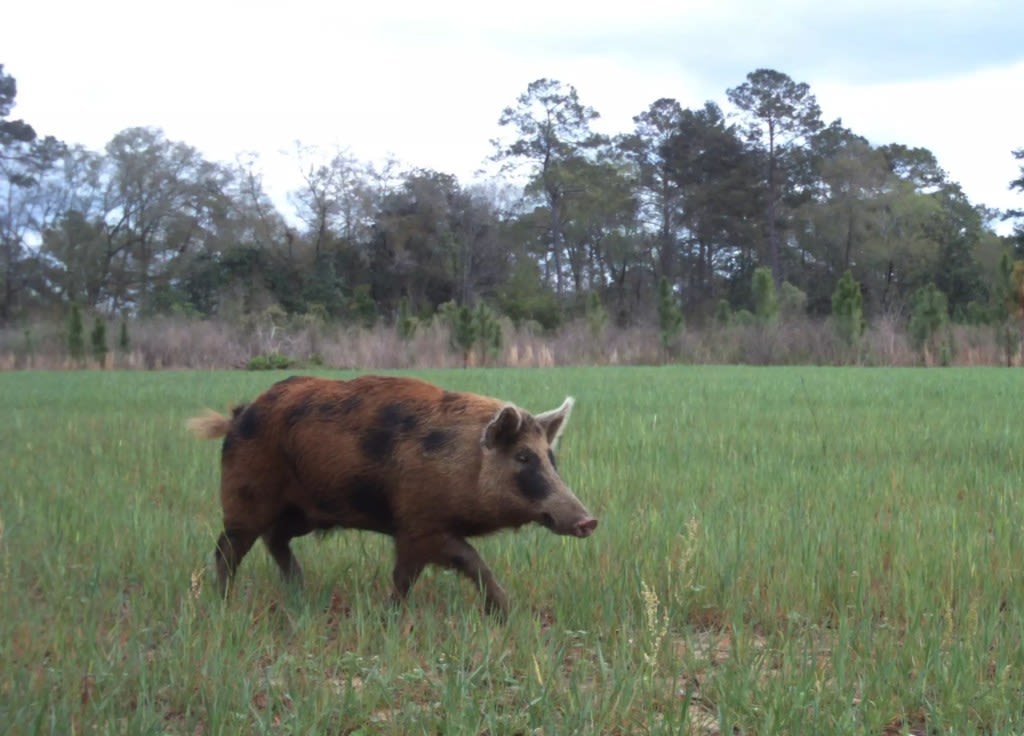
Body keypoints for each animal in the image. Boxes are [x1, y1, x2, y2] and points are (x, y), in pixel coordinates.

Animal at [188, 374, 598, 614]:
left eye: (551, 458)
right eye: (524, 457)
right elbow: (460, 562)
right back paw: (225, 603)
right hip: (244, 498)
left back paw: (299, 590)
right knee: (228, 550)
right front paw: (508, 610)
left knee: (274, 539)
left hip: (303, 512)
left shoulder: (416, 529)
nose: (589, 519)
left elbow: (415, 573)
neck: (462, 464)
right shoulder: (418, 524)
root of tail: (240, 414)